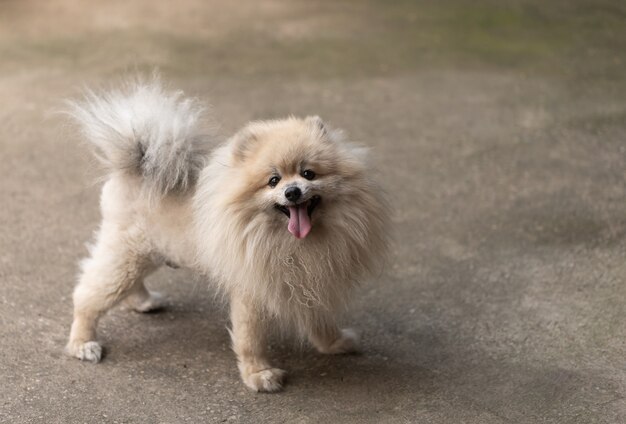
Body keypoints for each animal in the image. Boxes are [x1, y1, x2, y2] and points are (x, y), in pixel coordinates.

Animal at [63, 78, 386, 390]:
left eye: (309, 173)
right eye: (273, 180)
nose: (292, 191)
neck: (290, 241)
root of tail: (139, 164)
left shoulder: (313, 279)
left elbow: (320, 320)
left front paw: (333, 343)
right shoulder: (252, 291)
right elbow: (250, 338)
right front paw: (259, 375)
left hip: (148, 253)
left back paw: (143, 301)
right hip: (128, 253)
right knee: (87, 295)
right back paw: (82, 343)